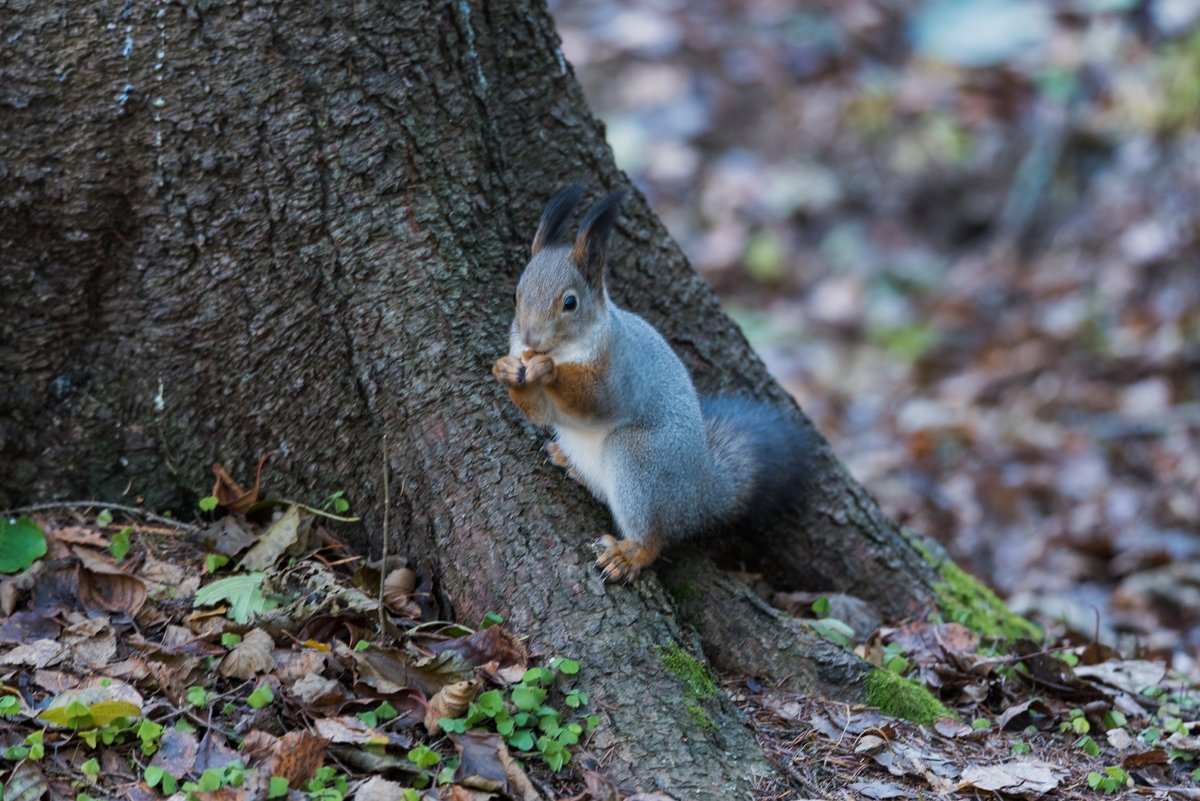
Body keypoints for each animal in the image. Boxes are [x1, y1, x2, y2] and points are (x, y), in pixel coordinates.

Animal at [492, 190, 811, 585]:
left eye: (570, 302)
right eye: (515, 296)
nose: (530, 338)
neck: (566, 349)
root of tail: (700, 497)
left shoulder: (622, 371)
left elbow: (593, 400)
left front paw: (548, 370)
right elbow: (537, 413)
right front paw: (505, 369)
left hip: (641, 462)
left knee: (656, 537)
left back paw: (628, 555)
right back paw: (569, 462)